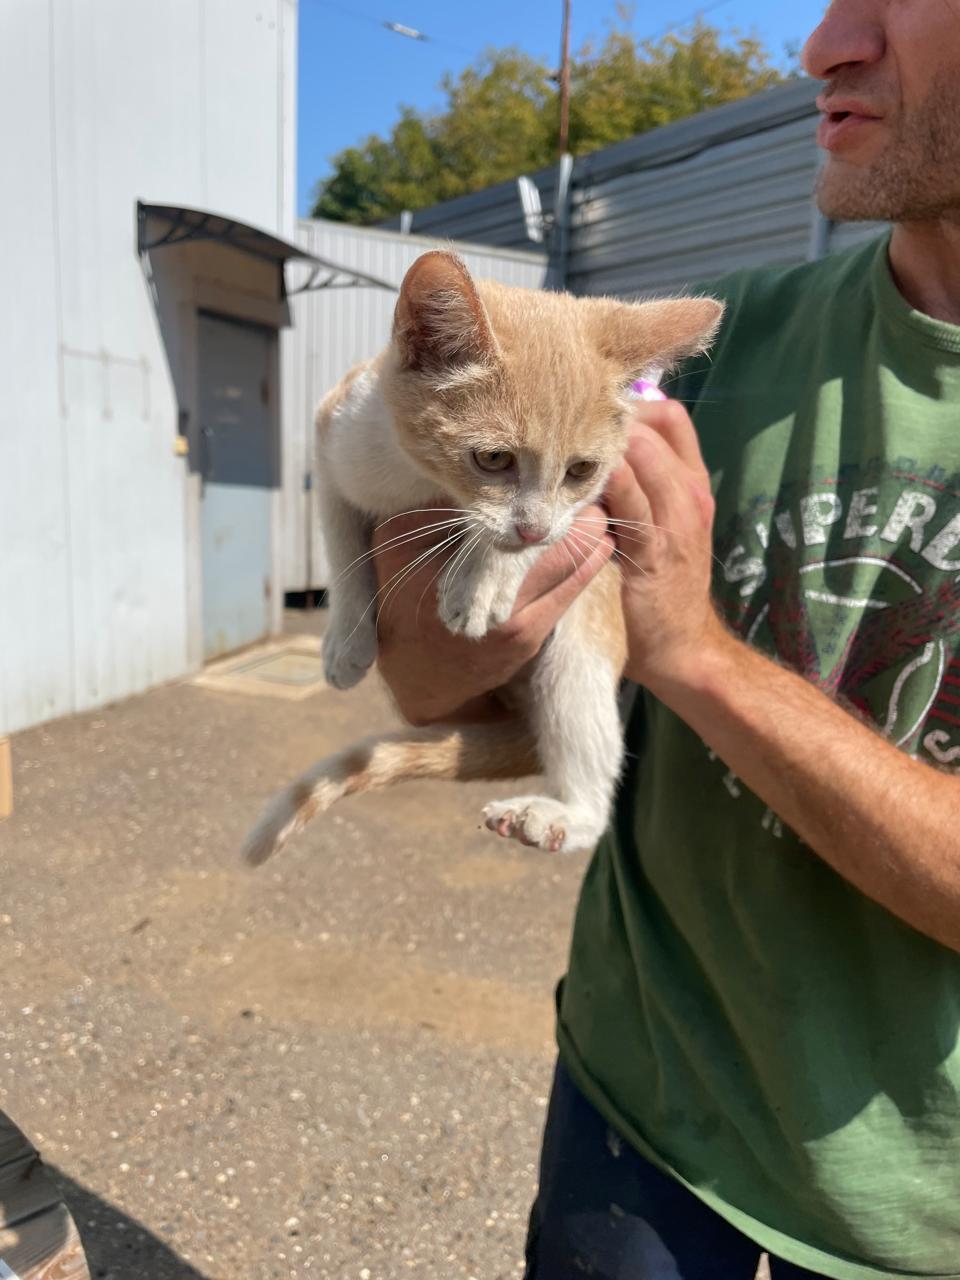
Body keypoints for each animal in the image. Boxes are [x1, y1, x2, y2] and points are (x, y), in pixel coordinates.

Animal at [240, 248, 721, 865]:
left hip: (584, 647)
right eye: (493, 458)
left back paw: (562, 815)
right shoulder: (335, 440)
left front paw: (484, 576)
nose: (532, 529)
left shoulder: (602, 498)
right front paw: (346, 639)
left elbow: (556, 527)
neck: (425, 481)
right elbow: (342, 546)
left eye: (581, 471)